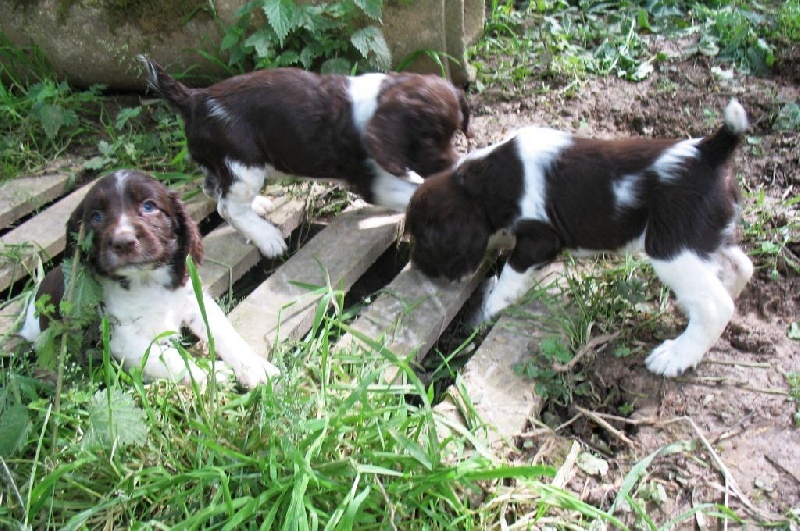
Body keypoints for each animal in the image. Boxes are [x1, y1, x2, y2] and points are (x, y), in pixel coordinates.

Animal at [20, 172, 280, 388]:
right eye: (96, 216)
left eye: (149, 206)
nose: (123, 242)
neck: (146, 281)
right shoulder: (123, 338)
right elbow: (172, 360)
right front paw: (215, 374)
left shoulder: (192, 299)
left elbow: (225, 333)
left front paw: (256, 369)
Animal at [141, 56, 472, 258]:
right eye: (425, 140)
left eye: (455, 132)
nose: (450, 165)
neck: (379, 102)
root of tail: (195, 99)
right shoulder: (374, 180)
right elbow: (411, 190)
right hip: (244, 163)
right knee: (227, 206)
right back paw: (267, 238)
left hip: (229, 165)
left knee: (215, 188)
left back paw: (259, 205)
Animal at [410, 97, 752, 376]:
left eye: (425, 240)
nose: (418, 269)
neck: (491, 179)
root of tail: (709, 151)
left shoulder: (539, 240)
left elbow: (508, 278)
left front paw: (487, 311)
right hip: (707, 237)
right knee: (740, 268)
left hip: (672, 249)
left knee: (715, 306)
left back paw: (676, 355)